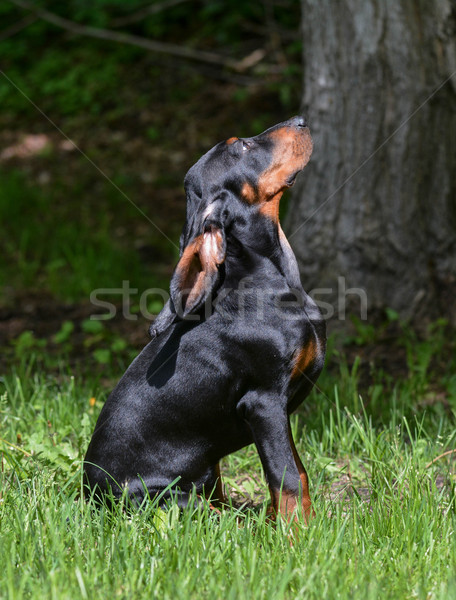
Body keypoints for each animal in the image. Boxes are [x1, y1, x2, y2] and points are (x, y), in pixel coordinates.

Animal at [83, 117, 326, 520]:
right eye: (240, 146)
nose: (302, 121)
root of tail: (90, 499)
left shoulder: (278, 410)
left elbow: (298, 473)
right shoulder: (264, 403)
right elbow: (287, 477)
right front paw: (297, 533)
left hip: (208, 471)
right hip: (170, 496)